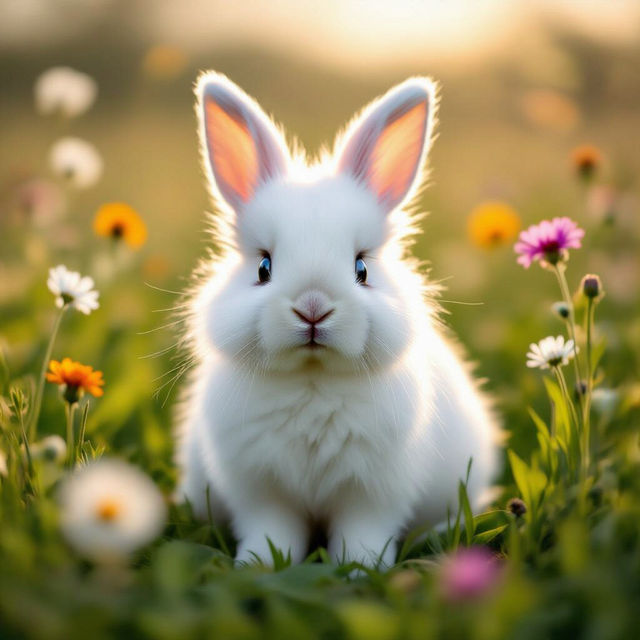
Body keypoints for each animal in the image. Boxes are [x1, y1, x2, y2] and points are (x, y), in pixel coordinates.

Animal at [174, 71, 500, 567]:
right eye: (263, 267)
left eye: (361, 268)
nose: (313, 307)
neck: (314, 378)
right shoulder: (263, 492)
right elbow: (271, 531)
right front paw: (259, 566)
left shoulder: (372, 493)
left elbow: (362, 534)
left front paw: (361, 571)